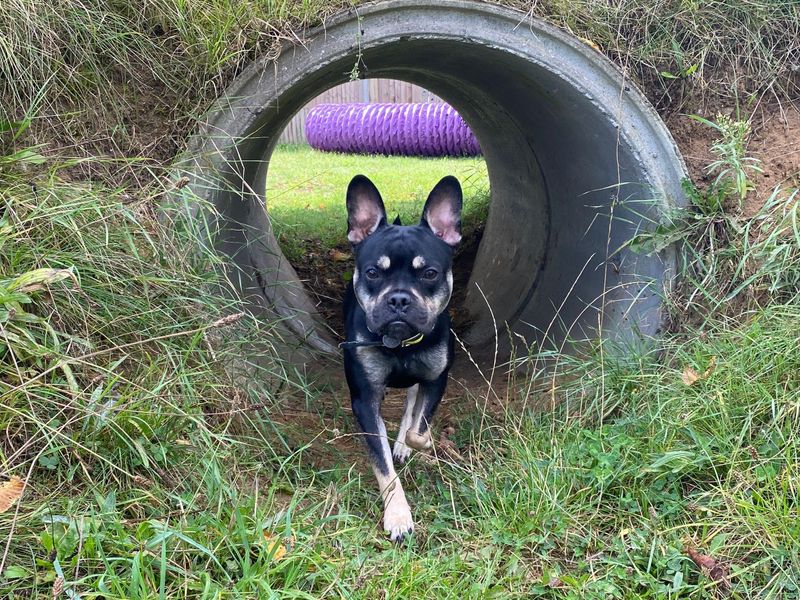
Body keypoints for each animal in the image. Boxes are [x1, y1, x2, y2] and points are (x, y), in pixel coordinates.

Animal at [340, 172, 462, 540]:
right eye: (372, 273)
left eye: (430, 274)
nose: (398, 299)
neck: (401, 344)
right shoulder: (365, 400)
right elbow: (383, 466)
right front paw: (397, 515)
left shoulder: (436, 379)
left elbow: (418, 427)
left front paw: (419, 444)